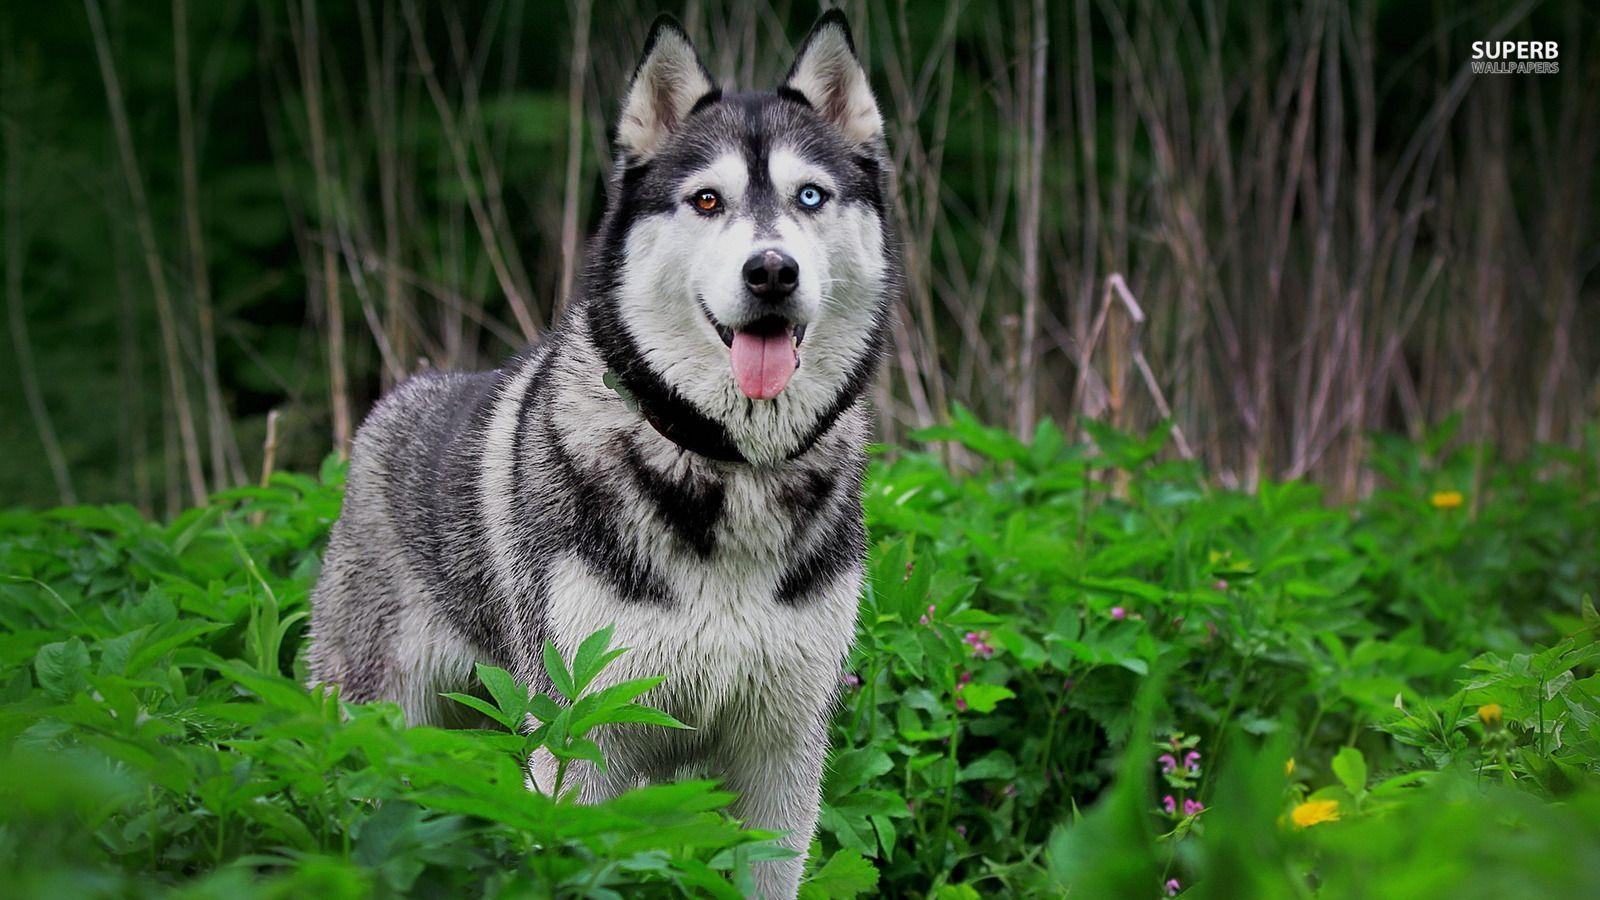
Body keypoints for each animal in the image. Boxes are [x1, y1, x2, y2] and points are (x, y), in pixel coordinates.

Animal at [305, 10, 896, 890]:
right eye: (708, 199)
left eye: (811, 197)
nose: (771, 270)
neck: (730, 466)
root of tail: (391, 406)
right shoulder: (580, 738)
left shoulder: (782, 752)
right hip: (378, 719)